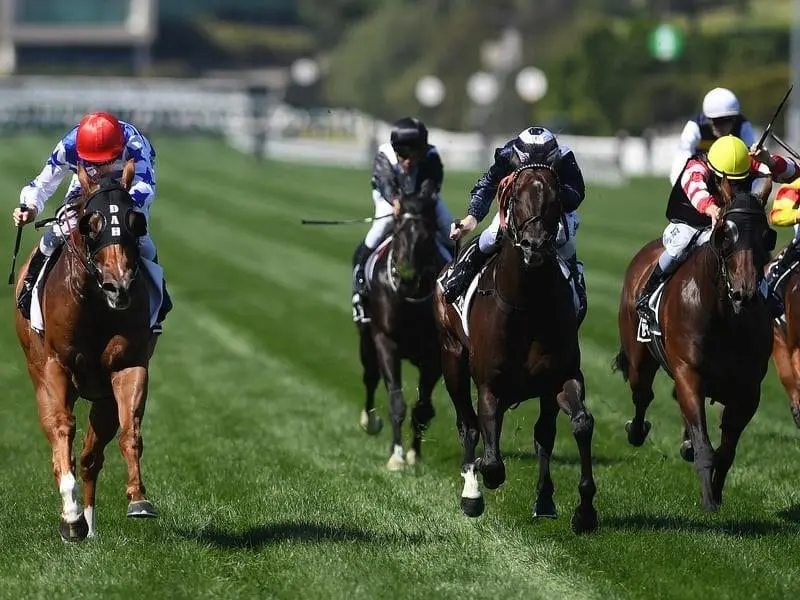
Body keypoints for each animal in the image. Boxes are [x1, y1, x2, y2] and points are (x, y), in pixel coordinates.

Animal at [14, 161, 157, 544]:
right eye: (90, 223)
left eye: (135, 221)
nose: (118, 285)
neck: (94, 304)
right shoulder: (55, 366)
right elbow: (62, 427)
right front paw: (71, 517)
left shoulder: (128, 364)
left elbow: (130, 431)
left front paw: (138, 499)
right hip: (37, 372)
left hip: (101, 397)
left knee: (92, 455)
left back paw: (91, 524)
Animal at [358, 180, 446, 472]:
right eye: (397, 231)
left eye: (428, 234)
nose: (406, 276)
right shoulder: (386, 341)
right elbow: (396, 401)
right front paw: (396, 456)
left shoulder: (435, 354)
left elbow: (423, 408)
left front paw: (414, 454)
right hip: (366, 339)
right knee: (370, 376)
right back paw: (369, 421)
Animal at [434, 165, 596, 536]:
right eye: (517, 198)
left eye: (554, 199)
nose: (535, 246)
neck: (527, 305)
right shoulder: (489, 386)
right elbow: (491, 459)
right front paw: (480, 484)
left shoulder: (562, 377)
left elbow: (580, 424)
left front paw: (584, 511)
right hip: (452, 359)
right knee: (467, 424)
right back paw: (471, 492)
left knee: (544, 434)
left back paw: (545, 501)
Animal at [612, 184, 776, 510]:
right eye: (725, 233)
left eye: (766, 234)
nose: (745, 293)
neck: (725, 317)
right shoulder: (690, 372)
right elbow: (705, 446)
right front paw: (709, 502)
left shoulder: (749, 390)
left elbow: (726, 452)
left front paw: (718, 494)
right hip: (639, 358)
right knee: (642, 393)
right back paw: (637, 431)